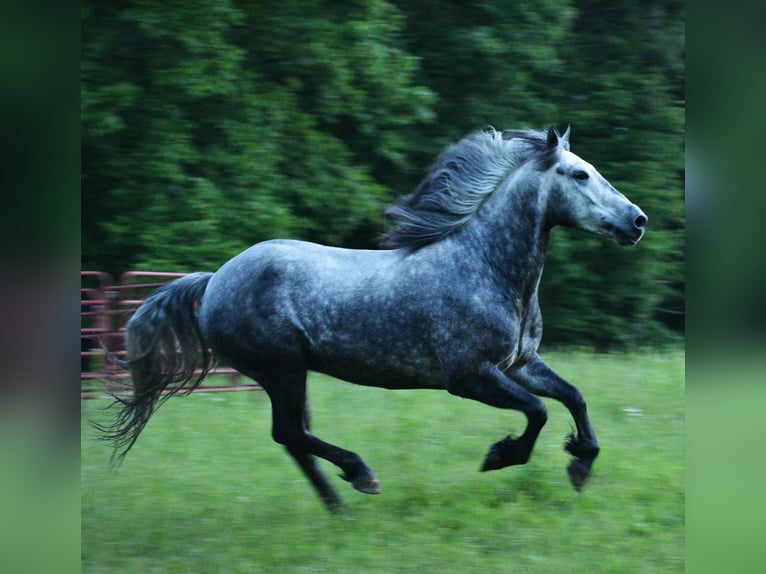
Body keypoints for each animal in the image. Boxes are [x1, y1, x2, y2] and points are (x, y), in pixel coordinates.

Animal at [100, 127, 648, 512]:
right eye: (579, 175)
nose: (637, 221)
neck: (487, 267)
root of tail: (215, 279)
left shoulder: (519, 364)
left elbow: (572, 397)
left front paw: (580, 464)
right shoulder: (468, 376)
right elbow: (537, 412)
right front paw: (500, 456)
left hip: (288, 375)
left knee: (294, 439)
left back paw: (339, 506)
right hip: (281, 369)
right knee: (290, 434)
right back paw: (360, 477)